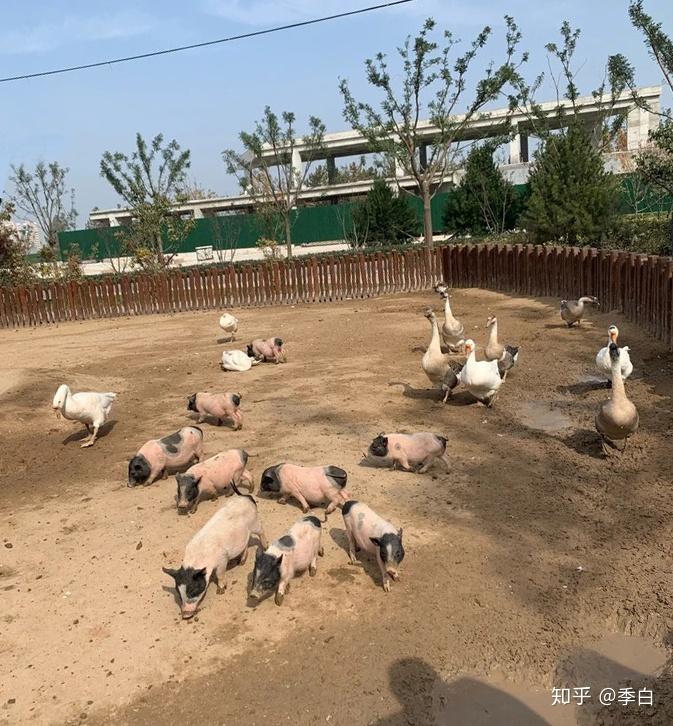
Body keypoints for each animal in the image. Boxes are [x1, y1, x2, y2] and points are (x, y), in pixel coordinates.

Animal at [163, 484, 268, 620]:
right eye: (179, 592)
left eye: (193, 590)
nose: (186, 615)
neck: (199, 558)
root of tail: (246, 497)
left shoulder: (222, 558)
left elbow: (220, 574)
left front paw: (221, 591)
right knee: (246, 542)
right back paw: (241, 562)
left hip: (255, 523)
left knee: (261, 531)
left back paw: (266, 547)